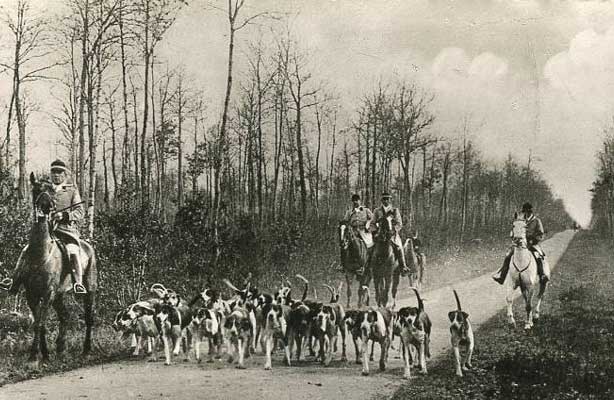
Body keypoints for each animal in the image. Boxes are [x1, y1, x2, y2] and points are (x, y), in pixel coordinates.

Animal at [19, 173, 97, 366]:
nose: (47, 207)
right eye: (36, 189)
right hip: (59, 295)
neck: (40, 254)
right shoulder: (32, 294)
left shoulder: (48, 293)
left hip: (89, 290)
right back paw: (61, 347)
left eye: (50, 190)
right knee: (65, 316)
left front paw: (34, 355)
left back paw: (86, 350)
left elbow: (40, 323)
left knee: (88, 318)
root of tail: (88, 247)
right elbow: (39, 323)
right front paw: (44, 354)